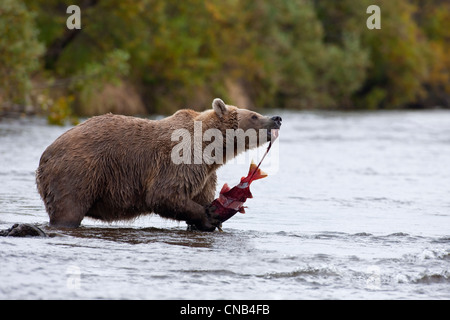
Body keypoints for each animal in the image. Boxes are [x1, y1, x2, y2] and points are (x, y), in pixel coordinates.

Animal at [36, 99, 282, 231]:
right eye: (254, 115)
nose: (277, 118)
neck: (212, 149)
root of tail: (45, 155)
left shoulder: (205, 173)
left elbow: (199, 194)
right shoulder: (181, 158)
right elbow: (164, 194)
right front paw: (209, 215)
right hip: (79, 171)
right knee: (68, 208)